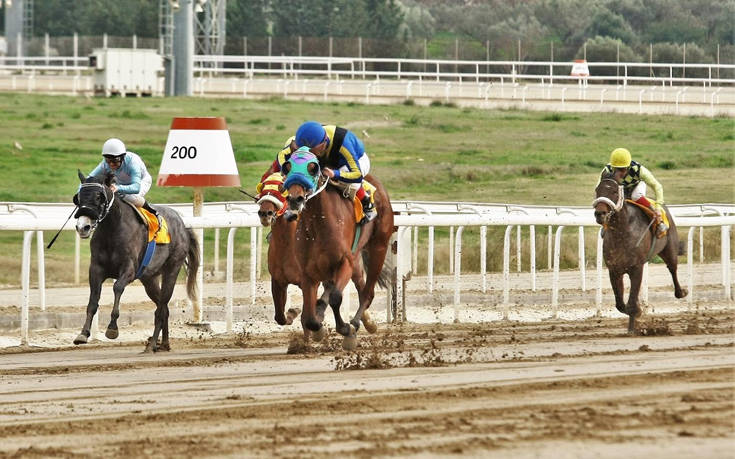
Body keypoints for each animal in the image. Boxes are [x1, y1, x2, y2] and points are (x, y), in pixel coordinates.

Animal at [72, 172, 200, 352]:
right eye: (78, 197)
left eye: (99, 197)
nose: (83, 227)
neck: (112, 230)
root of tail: (183, 225)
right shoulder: (96, 269)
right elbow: (93, 301)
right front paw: (83, 334)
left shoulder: (129, 269)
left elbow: (117, 287)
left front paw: (112, 328)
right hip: (149, 279)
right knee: (164, 308)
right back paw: (163, 344)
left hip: (172, 270)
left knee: (161, 308)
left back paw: (152, 344)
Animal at [284, 153, 396, 350]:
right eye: (287, 167)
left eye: (312, 168)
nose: (295, 199)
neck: (318, 224)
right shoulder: (307, 271)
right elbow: (309, 316)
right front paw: (318, 328)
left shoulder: (345, 262)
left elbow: (336, 297)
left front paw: (347, 330)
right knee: (331, 288)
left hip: (378, 247)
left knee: (367, 293)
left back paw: (356, 322)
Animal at [596, 177, 688, 334]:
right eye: (597, 190)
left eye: (614, 191)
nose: (599, 214)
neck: (622, 233)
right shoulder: (614, 270)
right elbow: (621, 304)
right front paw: (635, 316)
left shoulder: (636, 268)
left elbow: (632, 302)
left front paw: (635, 320)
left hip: (669, 249)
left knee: (672, 269)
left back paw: (681, 292)